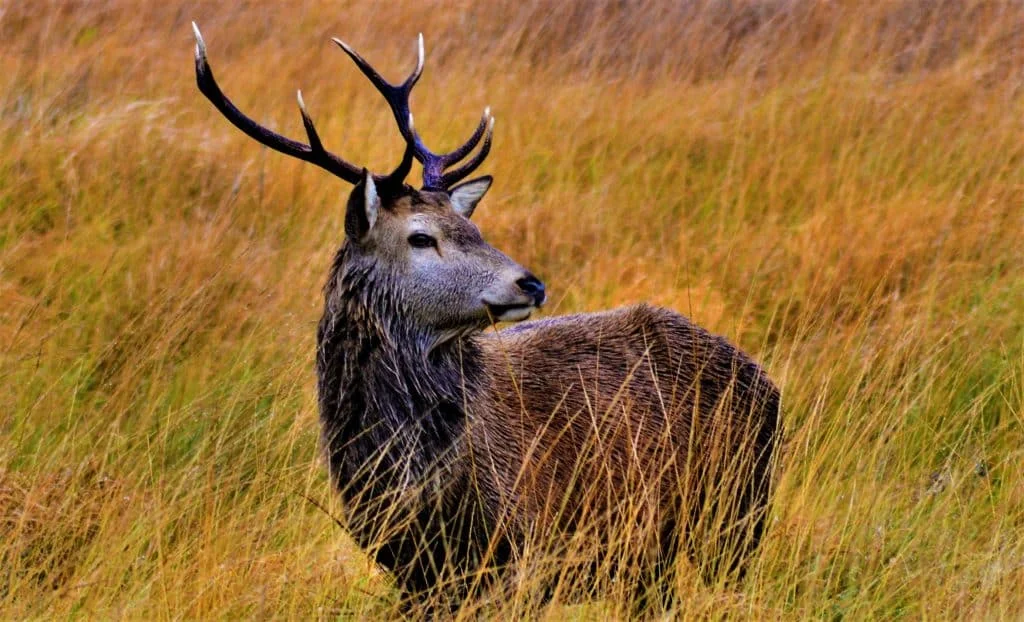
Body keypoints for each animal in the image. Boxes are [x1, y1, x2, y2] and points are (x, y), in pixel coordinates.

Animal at [192, 25, 778, 618]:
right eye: (421, 236)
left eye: (471, 228)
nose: (530, 283)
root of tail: (766, 381)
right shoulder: (410, 567)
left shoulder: (521, 551)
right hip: (652, 554)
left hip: (734, 516)